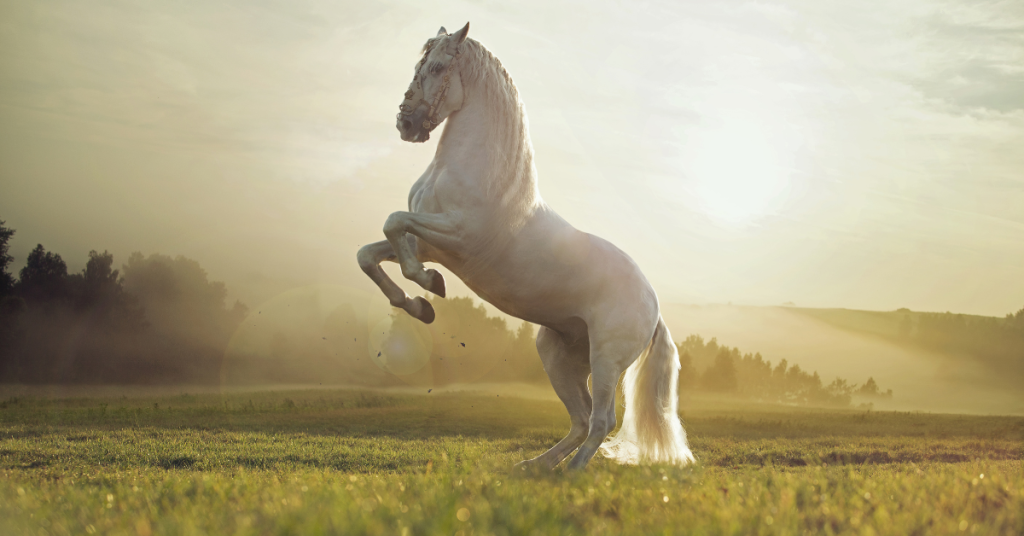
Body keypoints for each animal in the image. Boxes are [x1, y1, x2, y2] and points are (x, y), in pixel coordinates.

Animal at [357, 23, 695, 470]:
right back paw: (534, 467)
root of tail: (653, 306)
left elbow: (394, 224)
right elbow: (370, 253)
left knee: (601, 420)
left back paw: (570, 474)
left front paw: (429, 286)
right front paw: (418, 305)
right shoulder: (428, 243)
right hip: (557, 355)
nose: (406, 123)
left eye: (439, 67)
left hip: (606, 360)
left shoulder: (456, 236)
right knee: (581, 419)